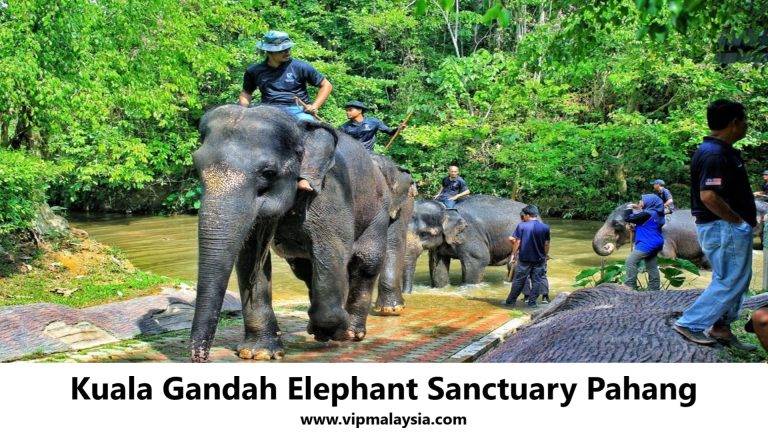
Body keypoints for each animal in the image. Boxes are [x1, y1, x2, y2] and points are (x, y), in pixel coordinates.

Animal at [189, 105, 391, 362]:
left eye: (268, 172)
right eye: (197, 167)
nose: (199, 357)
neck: (298, 128)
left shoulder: (330, 192)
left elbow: (333, 251)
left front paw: (332, 332)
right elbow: (249, 258)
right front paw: (259, 352)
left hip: (378, 210)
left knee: (366, 262)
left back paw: (352, 333)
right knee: (305, 270)